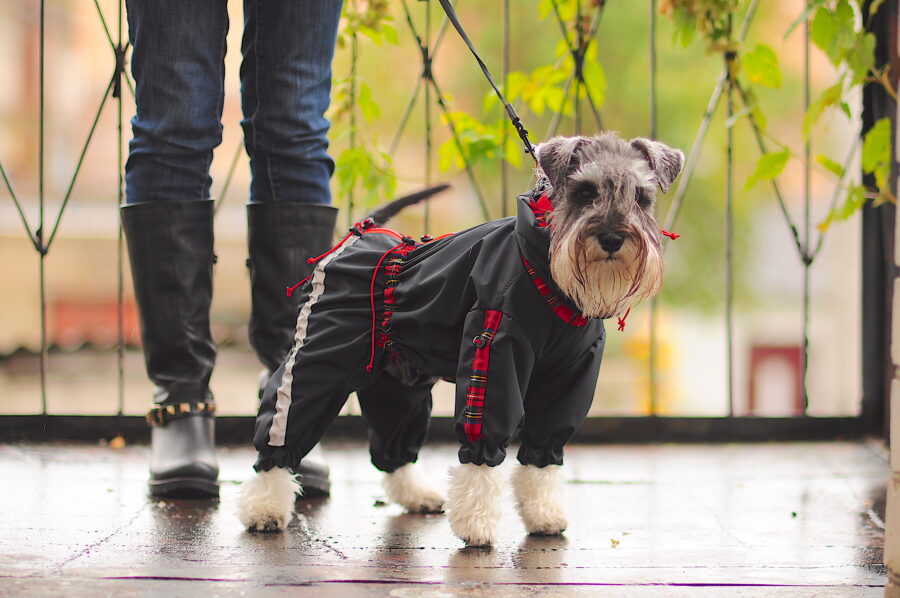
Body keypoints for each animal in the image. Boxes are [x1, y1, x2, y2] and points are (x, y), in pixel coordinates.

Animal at [236, 131, 684, 548]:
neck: (546, 269)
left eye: (642, 196)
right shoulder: (494, 354)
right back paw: (263, 509)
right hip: (322, 359)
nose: (612, 238)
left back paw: (417, 494)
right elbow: (482, 453)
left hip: (399, 382)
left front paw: (543, 515)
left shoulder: (569, 377)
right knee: (281, 430)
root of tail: (360, 236)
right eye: (585, 192)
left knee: (395, 446)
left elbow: (542, 457)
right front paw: (477, 526)